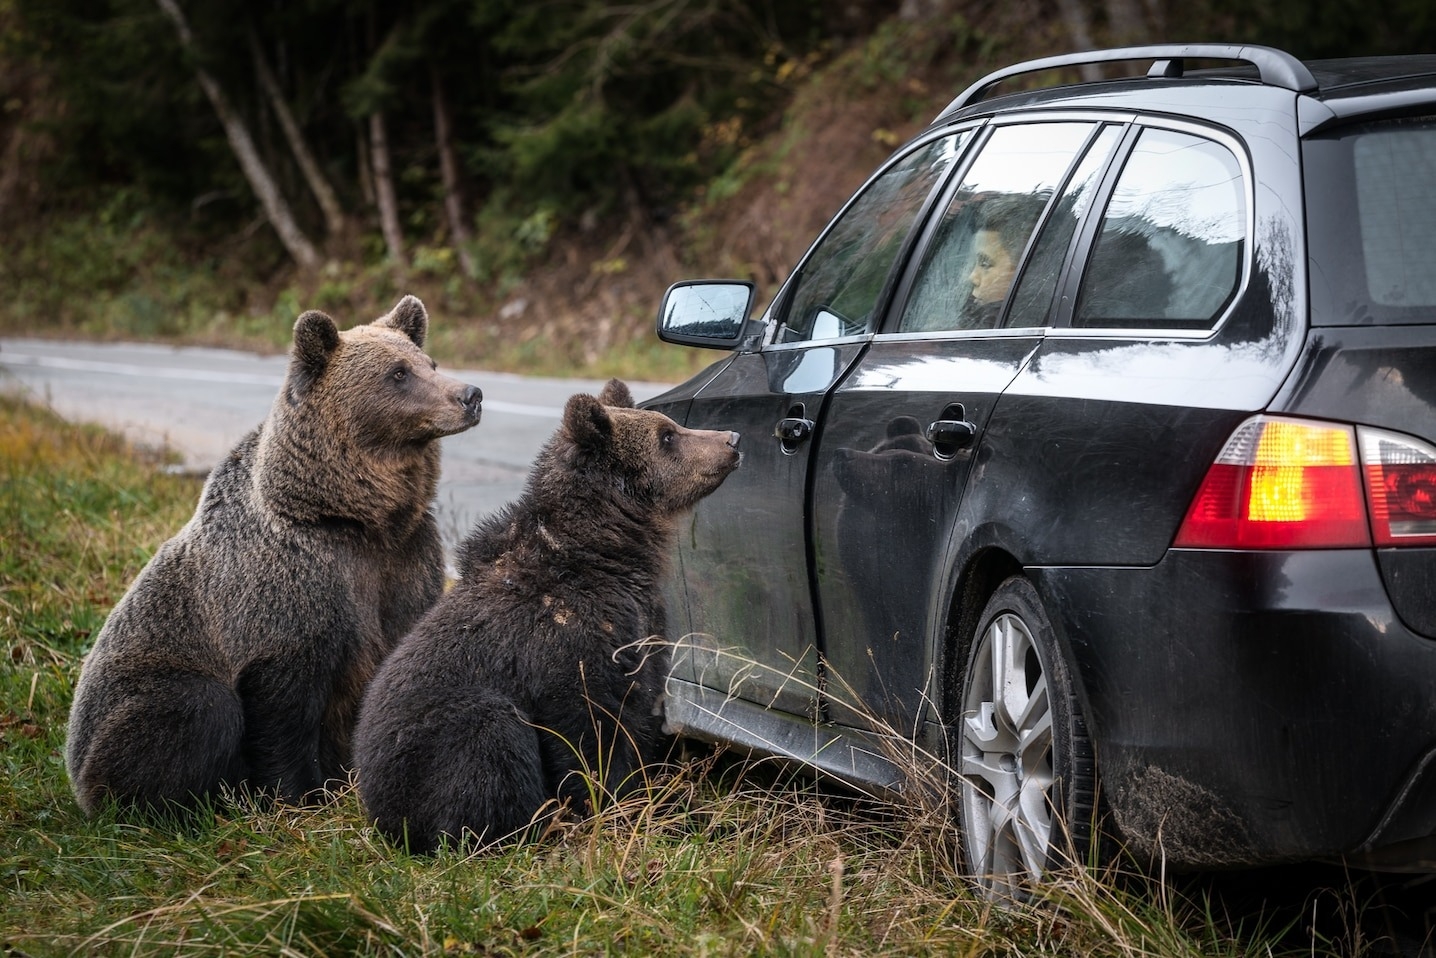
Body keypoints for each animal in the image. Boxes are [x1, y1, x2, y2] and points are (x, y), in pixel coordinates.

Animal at [64, 295, 482, 821]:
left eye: (430, 362)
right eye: (398, 373)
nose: (471, 395)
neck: (353, 517)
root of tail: (75, 775)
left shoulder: (406, 562)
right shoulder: (288, 589)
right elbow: (283, 708)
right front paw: (299, 799)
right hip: (129, 703)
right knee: (196, 707)